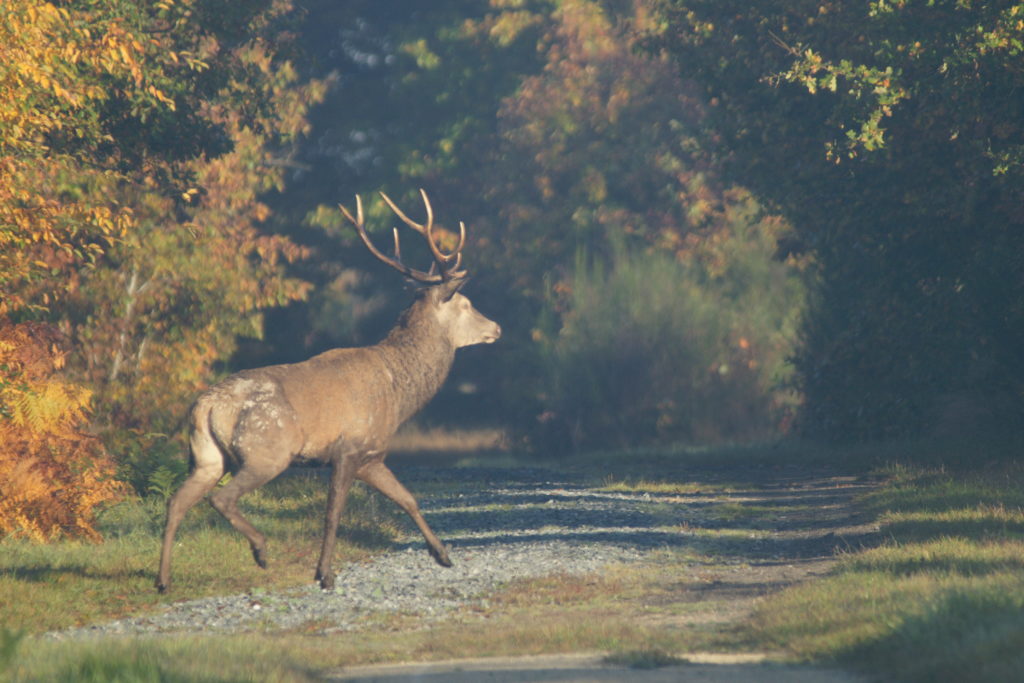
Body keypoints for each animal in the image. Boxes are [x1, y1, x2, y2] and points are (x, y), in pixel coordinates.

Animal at [154, 191, 499, 593]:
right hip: (266, 451)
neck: (398, 394)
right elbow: (333, 514)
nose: (496, 327)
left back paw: (162, 580)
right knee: (221, 498)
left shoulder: (372, 455)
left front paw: (443, 555)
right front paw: (324, 574)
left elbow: (408, 499)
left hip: (207, 456)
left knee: (176, 502)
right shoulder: (348, 449)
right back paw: (261, 550)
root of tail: (205, 406)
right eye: (466, 304)